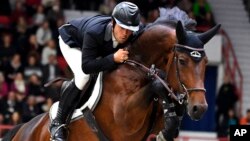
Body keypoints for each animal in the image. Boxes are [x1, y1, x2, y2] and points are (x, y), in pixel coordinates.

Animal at [2, 7, 220, 141]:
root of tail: (25, 127)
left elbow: (170, 117)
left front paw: (166, 131)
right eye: (182, 61)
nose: (199, 108)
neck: (136, 68)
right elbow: (155, 86)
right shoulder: (125, 117)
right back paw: (57, 130)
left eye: (206, 63)